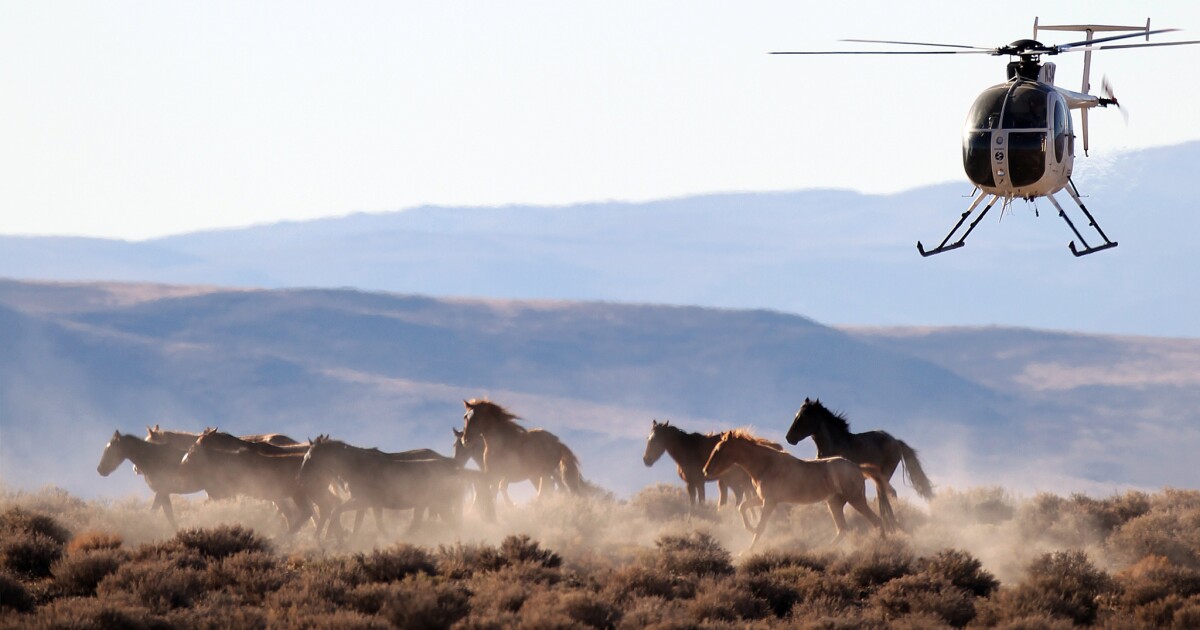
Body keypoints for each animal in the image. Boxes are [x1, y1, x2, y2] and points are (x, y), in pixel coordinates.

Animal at [700, 427, 897, 549]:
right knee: (843, 529)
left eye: (718, 450)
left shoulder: (769, 502)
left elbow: (762, 526)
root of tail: (856, 467)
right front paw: (750, 529)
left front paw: (748, 549)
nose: (706, 470)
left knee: (877, 521)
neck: (765, 465)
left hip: (856, 500)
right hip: (834, 504)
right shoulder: (764, 499)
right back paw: (823, 550)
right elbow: (743, 507)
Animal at [782, 398, 931, 501]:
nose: (789, 438)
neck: (834, 444)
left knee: (889, 493)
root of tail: (896, 442)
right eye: (796, 415)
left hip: (886, 472)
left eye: (804, 417)